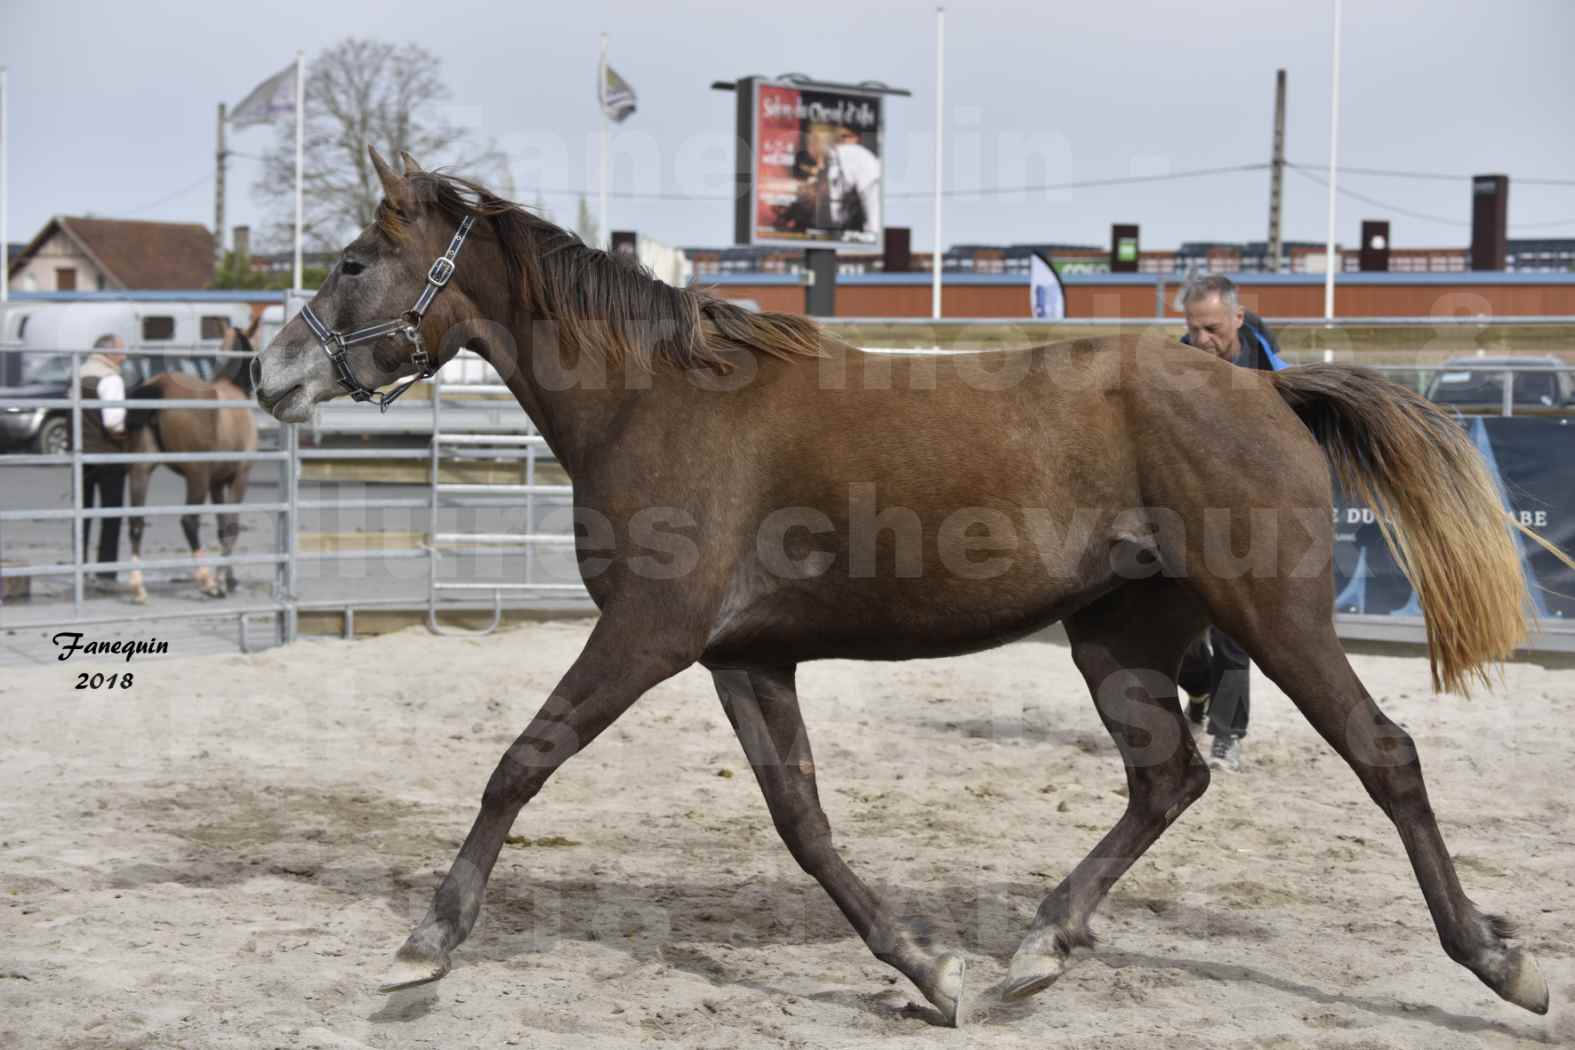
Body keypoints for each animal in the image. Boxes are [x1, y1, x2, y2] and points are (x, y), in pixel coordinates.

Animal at [128, 321, 261, 604]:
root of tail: (161, 387)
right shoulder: (238, 478)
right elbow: (231, 527)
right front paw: (223, 581)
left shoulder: (217, 483)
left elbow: (222, 529)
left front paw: (230, 579)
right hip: (196, 475)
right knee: (189, 522)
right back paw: (207, 582)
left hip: (141, 469)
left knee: (136, 523)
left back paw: (138, 587)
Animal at [252, 151, 1568, 1032]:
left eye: (357, 259)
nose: (267, 373)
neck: (661, 400)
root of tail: (1266, 390)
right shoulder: (744, 656)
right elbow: (804, 822)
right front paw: (932, 971)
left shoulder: (647, 635)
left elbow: (523, 761)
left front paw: (425, 943)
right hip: (1118, 640)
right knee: (1168, 780)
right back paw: (1035, 949)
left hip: (1273, 615)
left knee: (1382, 756)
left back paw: (1500, 963)